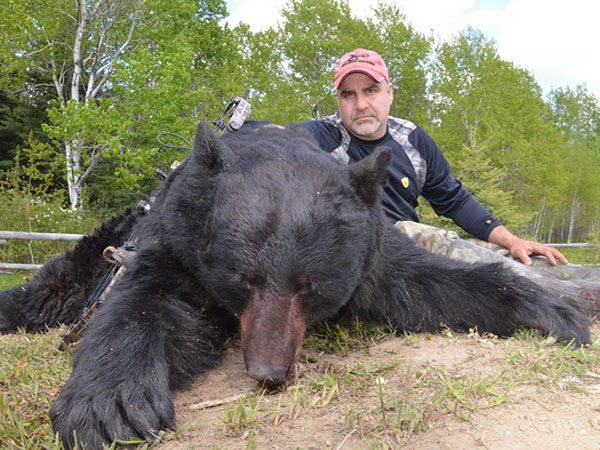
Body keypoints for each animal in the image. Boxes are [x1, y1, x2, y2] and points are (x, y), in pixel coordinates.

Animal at [0, 121, 592, 448]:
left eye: (314, 287)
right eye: (243, 279)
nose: (267, 373)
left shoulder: (372, 254)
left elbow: (431, 284)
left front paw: (551, 309)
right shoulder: (178, 240)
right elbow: (150, 305)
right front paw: (110, 402)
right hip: (101, 251)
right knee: (51, 290)